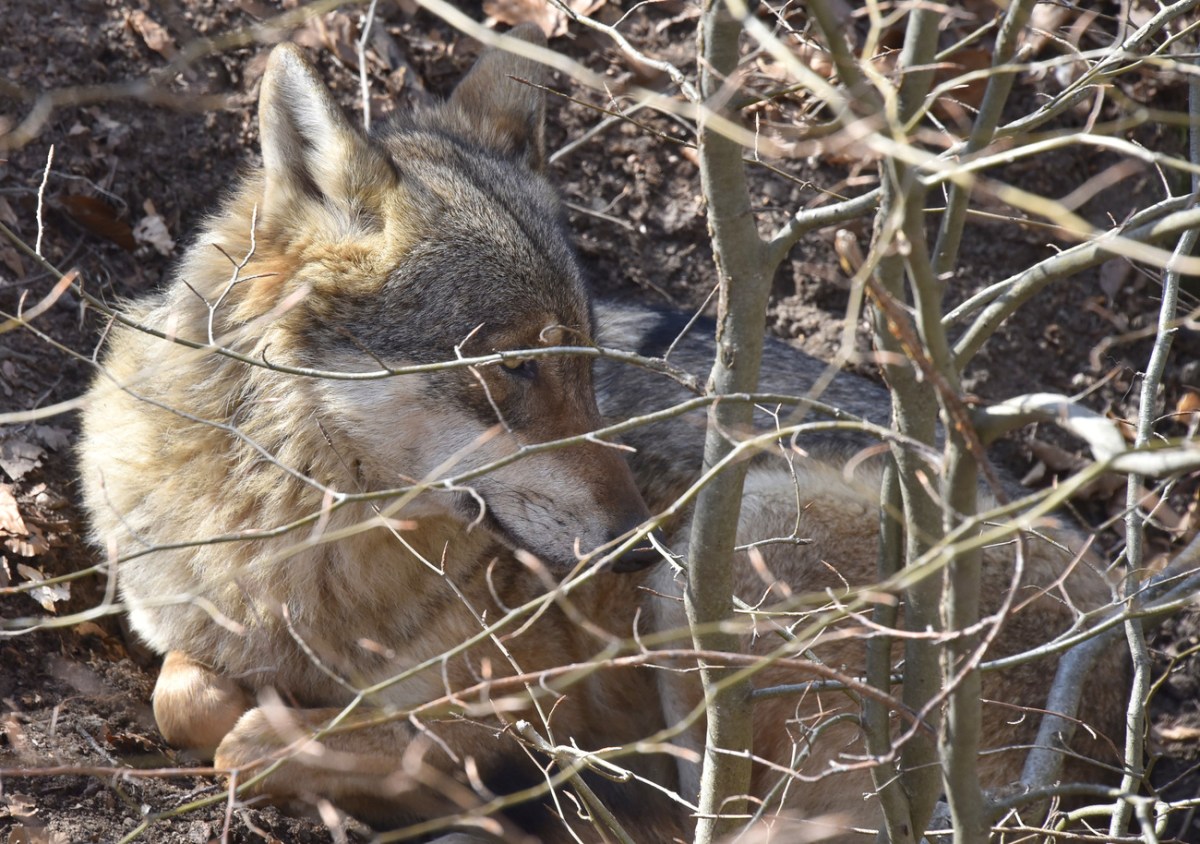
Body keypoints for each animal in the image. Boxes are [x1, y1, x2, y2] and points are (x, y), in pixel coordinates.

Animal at [78, 23, 1122, 842]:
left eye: (583, 362)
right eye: (514, 367)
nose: (637, 541)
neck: (292, 543)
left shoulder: (526, 692)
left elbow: (262, 743)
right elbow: (185, 696)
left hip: (726, 558)